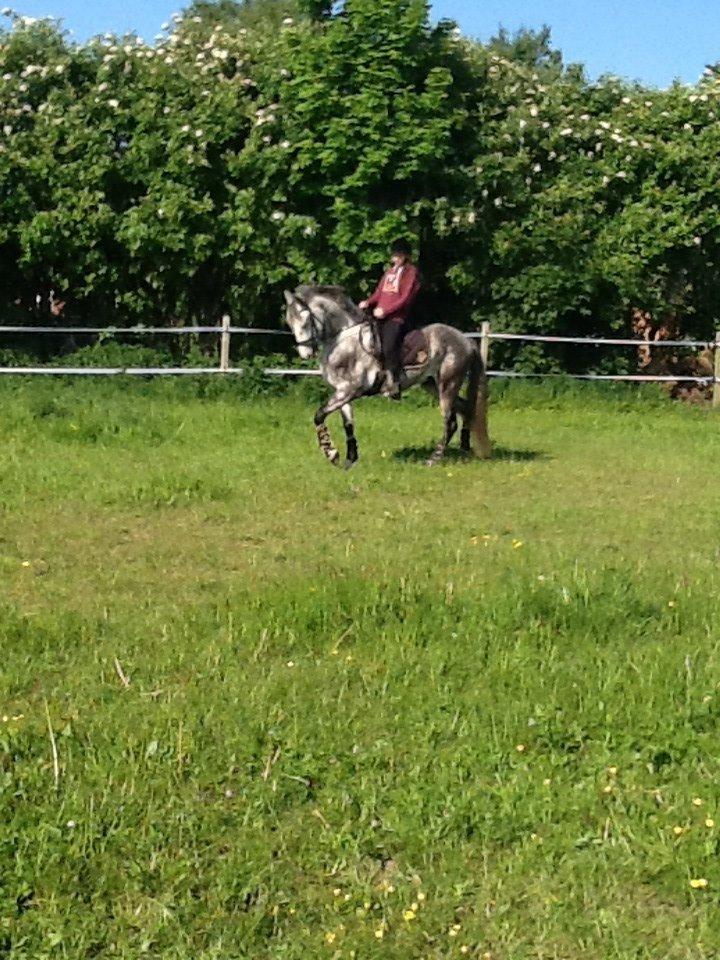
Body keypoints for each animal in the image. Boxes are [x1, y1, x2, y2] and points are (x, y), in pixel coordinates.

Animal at [280, 284, 490, 466]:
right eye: (289, 321)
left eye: (305, 319)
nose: (306, 353)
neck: (343, 340)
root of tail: (466, 340)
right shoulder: (341, 392)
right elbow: (348, 423)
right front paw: (350, 459)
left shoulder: (349, 390)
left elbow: (319, 415)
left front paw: (331, 453)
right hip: (432, 384)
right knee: (466, 408)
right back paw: (465, 449)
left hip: (448, 384)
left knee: (450, 421)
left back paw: (434, 458)